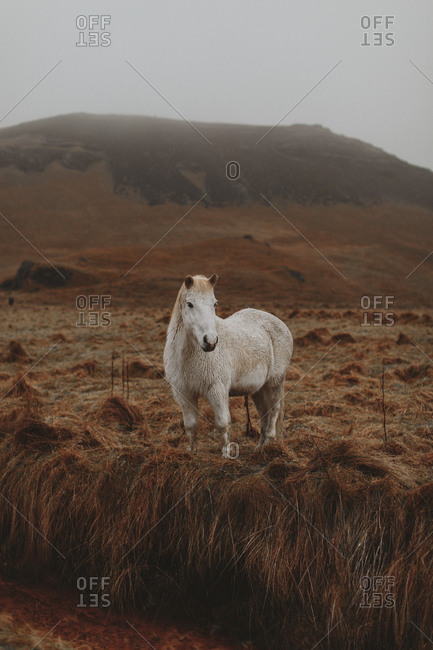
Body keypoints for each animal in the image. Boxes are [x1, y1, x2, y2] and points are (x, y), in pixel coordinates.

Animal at [163, 274, 293, 456]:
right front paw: (191, 451)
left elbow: (222, 423)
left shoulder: (217, 390)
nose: (210, 342)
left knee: (274, 411)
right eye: (190, 304)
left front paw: (226, 453)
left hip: (274, 383)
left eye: (214, 303)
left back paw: (268, 444)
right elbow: (190, 425)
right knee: (264, 414)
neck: (187, 356)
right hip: (259, 389)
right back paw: (259, 447)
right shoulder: (184, 393)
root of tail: (279, 323)